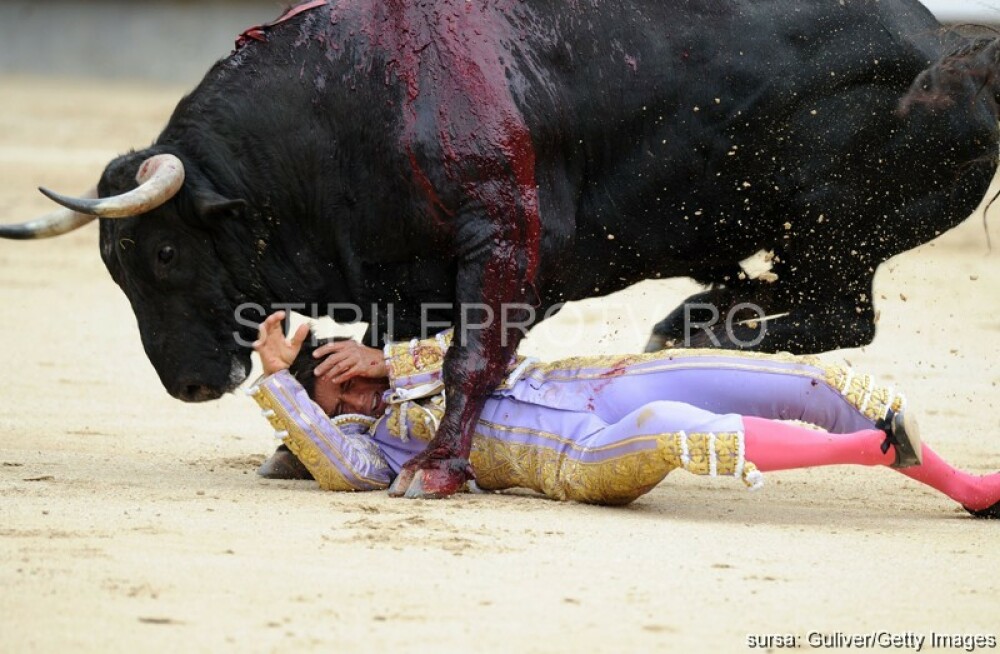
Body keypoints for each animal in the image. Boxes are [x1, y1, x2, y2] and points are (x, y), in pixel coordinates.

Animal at [1, 0, 1000, 500]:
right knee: (818, 314)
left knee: (845, 312)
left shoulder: (505, 237)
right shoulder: (395, 271)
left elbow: (471, 358)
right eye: (116, 267)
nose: (189, 385)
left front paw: (436, 471)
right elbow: (412, 347)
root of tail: (942, 40)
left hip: (836, 221)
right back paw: (698, 320)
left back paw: (703, 328)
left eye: (165, 256)